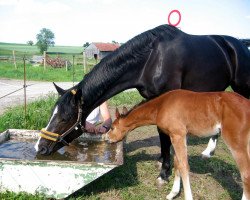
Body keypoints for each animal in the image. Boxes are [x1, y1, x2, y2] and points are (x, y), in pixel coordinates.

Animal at [33, 24, 250, 184]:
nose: (41, 148)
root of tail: (239, 45)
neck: (151, 59)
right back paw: (208, 151)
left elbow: (164, 135)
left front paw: (164, 174)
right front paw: (162, 161)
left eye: (66, 118)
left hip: (242, 87)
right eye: (52, 113)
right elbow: (160, 134)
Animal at [106, 90, 250, 200]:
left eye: (112, 127)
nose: (106, 138)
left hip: (237, 144)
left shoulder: (177, 135)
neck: (161, 106)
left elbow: (184, 166)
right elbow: (177, 164)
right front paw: (172, 194)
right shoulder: (179, 136)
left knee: (246, 175)